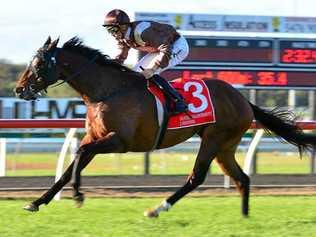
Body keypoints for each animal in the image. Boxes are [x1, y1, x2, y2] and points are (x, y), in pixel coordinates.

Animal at [14, 36, 316, 217]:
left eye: (39, 63)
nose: (18, 89)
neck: (107, 91)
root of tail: (242, 99)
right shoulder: (95, 137)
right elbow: (70, 166)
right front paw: (37, 202)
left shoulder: (119, 142)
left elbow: (79, 155)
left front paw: (78, 195)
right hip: (225, 146)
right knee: (242, 178)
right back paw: (244, 218)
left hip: (214, 139)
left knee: (196, 177)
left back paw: (158, 208)